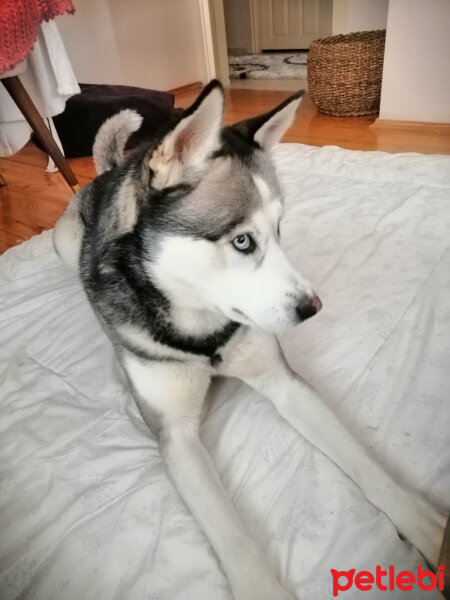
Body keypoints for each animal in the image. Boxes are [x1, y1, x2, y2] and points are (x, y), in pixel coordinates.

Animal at [53, 81, 446, 600]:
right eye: (242, 241)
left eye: (280, 230)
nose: (313, 308)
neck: (202, 334)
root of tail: (106, 175)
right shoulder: (176, 434)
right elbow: (232, 535)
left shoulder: (283, 382)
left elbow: (365, 465)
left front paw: (428, 528)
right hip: (63, 243)